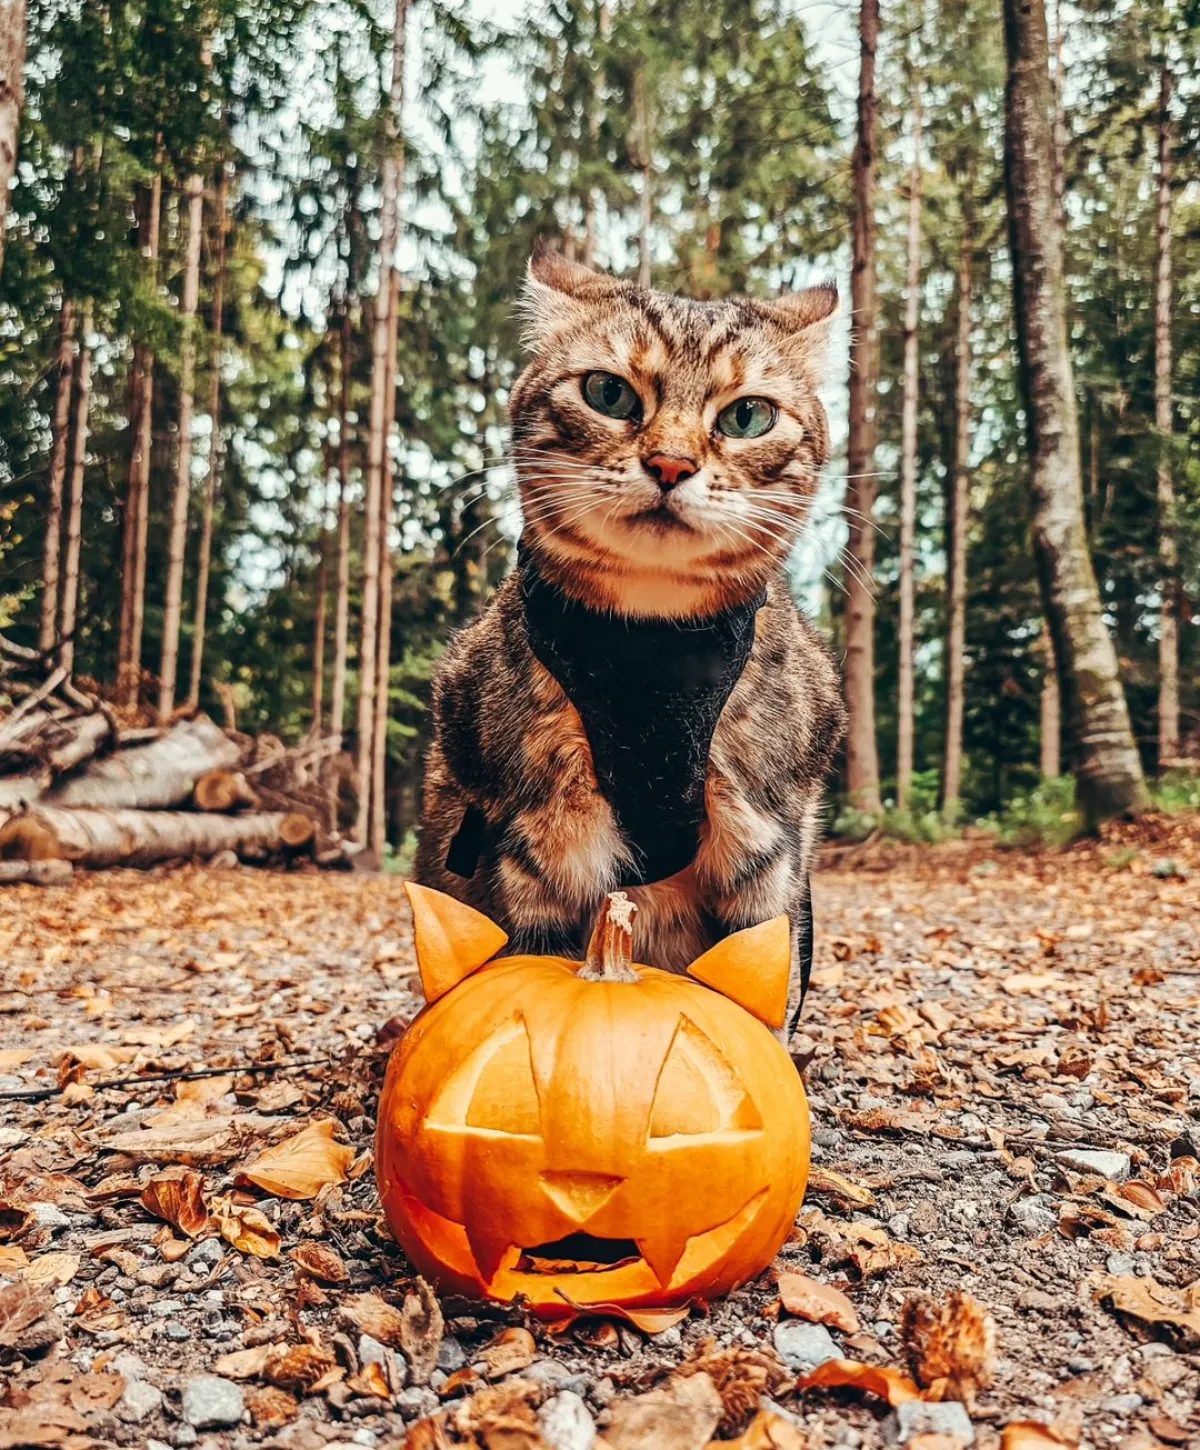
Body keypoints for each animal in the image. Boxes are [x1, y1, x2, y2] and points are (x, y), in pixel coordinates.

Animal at [417, 255, 846, 1038]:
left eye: (747, 415)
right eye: (608, 393)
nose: (671, 464)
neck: (650, 652)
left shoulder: (769, 838)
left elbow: (760, 988)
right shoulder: (540, 838)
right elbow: (538, 957)